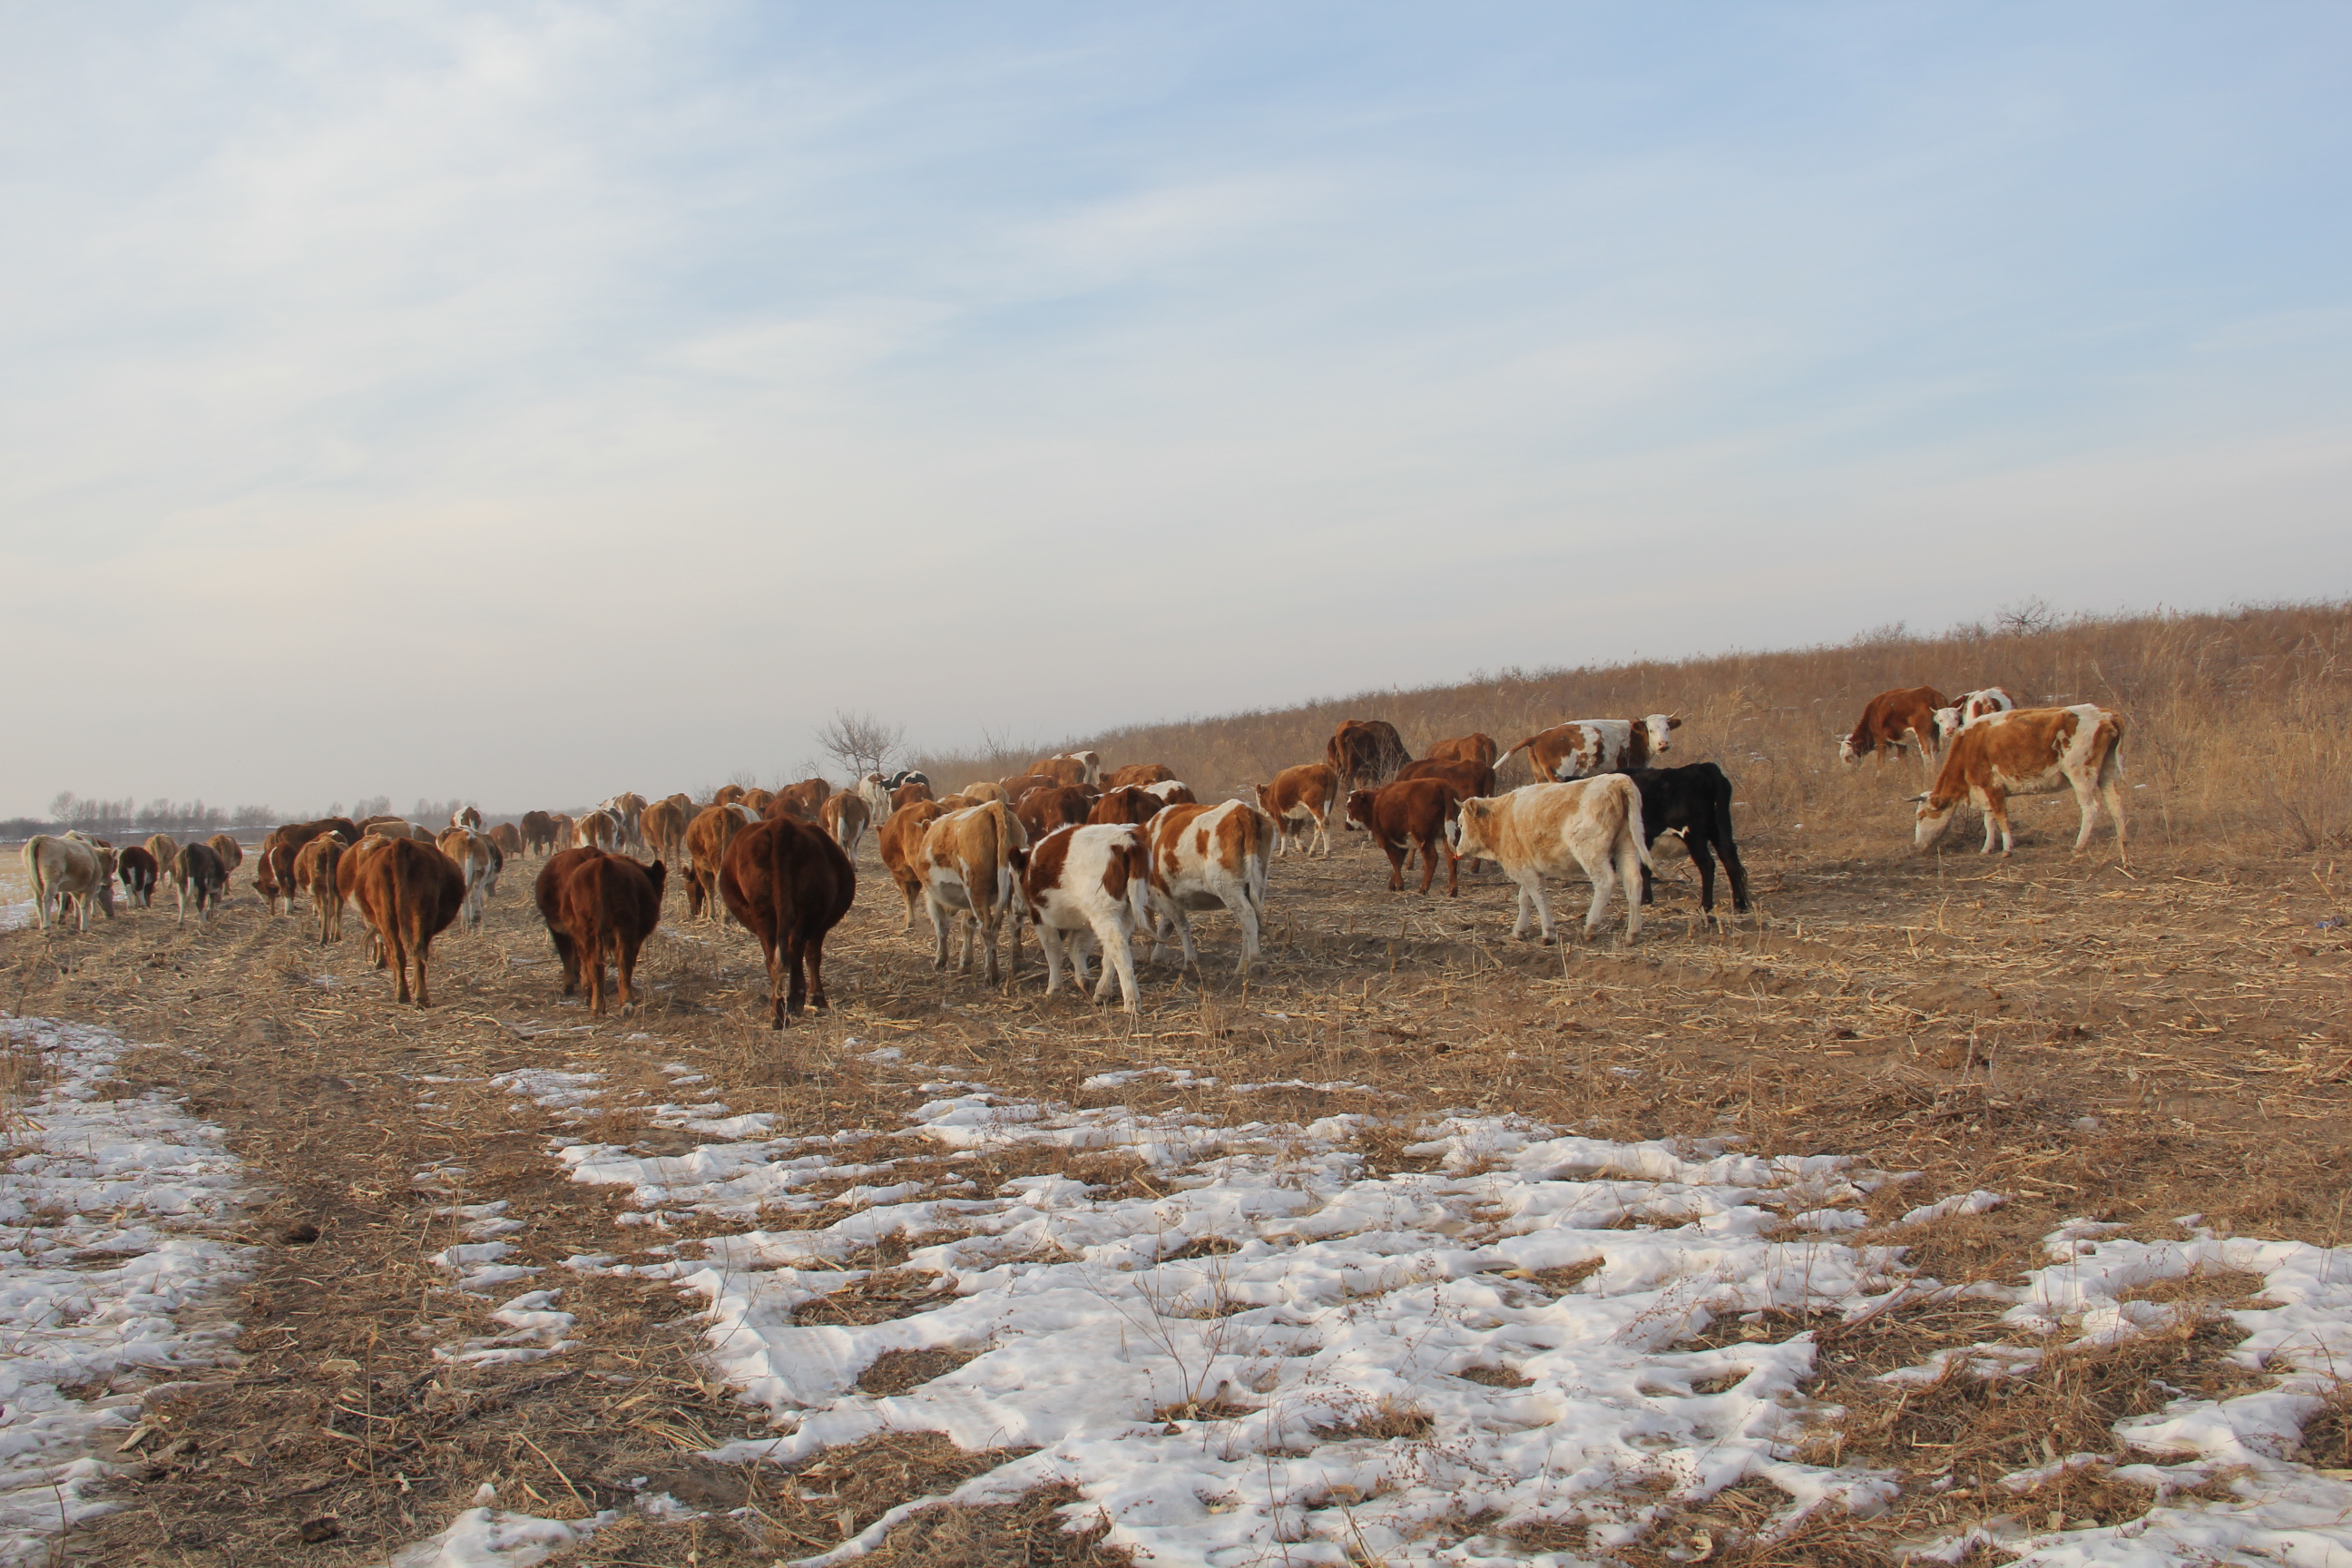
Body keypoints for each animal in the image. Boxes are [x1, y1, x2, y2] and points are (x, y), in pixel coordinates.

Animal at [724, 818, 865, 1024]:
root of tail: (780, 824)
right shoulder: (819, 929)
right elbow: (813, 957)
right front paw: (817, 997)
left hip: (763, 910)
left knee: (774, 957)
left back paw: (778, 1014)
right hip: (810, 910)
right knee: (796, 947)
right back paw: (796, 999)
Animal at [1015, 822, 1152, 1020]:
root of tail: (1125, 840)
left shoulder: (1041, 919)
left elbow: (1053, 951)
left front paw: (1054, 987)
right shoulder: (1084, 924)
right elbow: (1076, 950)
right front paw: (1083, 979)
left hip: (1104, 912)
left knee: (1119, 950)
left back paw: (1131, 1002)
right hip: (1123, 913)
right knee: (1112, 950)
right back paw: (1103, 992)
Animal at [1138, 804, 1269, 973]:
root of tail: (1240, 809)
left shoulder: (1161, 893)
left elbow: (1180, 926)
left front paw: (1189, 961)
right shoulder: (1168, 897)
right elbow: (1165, 927)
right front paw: (1157, 957)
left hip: (1227, 886)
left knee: (1247, 915)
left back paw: (1255, 961)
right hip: (1257, 882)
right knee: (1248, 924)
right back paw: (1241, 967)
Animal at [1448, 775, 1655, 945]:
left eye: (1461, 823)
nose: (1457, 852)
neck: (1501, 818)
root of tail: (1618, 780)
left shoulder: (1524, 869)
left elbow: (1538, 896)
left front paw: (1548, 933)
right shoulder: (1528, 867)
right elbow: (1525, 898)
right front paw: (1519, 931)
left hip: (1591, 852)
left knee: (1605, 881)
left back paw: (1591, 927)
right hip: (1627, 846)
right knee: (1633, 881)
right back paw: (1632, 934)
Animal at [1909, 710, 2135, 860]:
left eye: (1920, 816)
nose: (1916, 845)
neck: (1970, 746)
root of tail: (2105, 715)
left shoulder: (1993, 788)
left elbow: (2001, 818)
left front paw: (2007, 849)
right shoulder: (1986, 791)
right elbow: (1989, 821)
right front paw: (1987, 848)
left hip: (2081, 775)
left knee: (2090, 808)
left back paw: (2079, 846)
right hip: (2106, 771)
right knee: (2115, 802)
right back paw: (2123, 839)